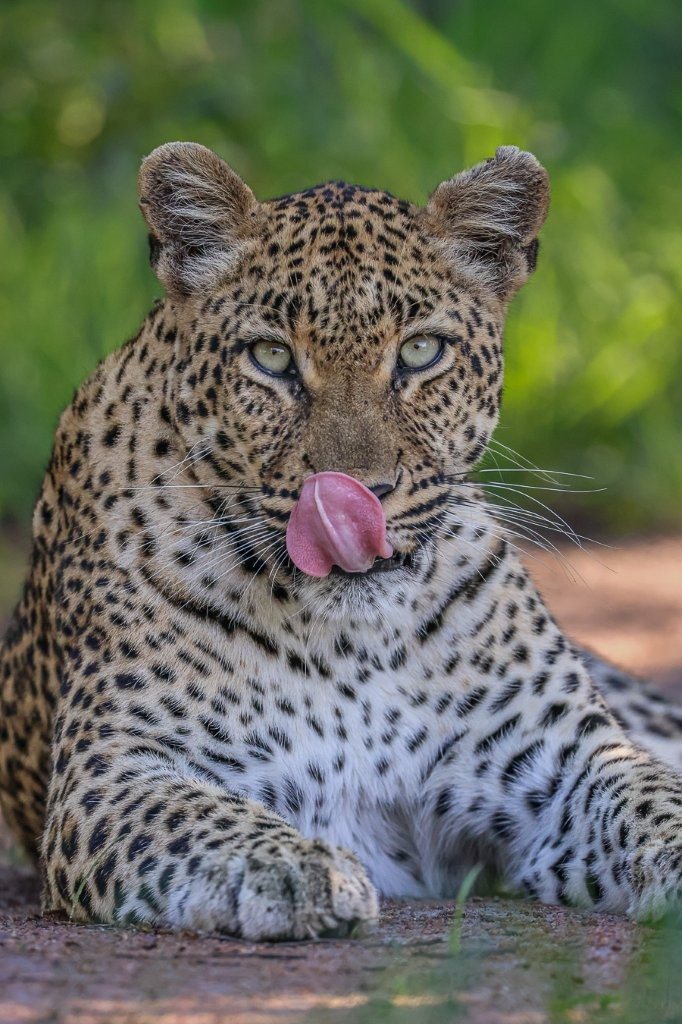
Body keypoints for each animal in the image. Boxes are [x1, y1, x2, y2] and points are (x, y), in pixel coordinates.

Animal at [1, 142, 680, 941]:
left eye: (421, 352)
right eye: (271, 358)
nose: (358, 494)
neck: (357, 641)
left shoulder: (565, 755)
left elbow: (657, 799)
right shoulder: (115, 770)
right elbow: (203, 818)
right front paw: (295, 868)